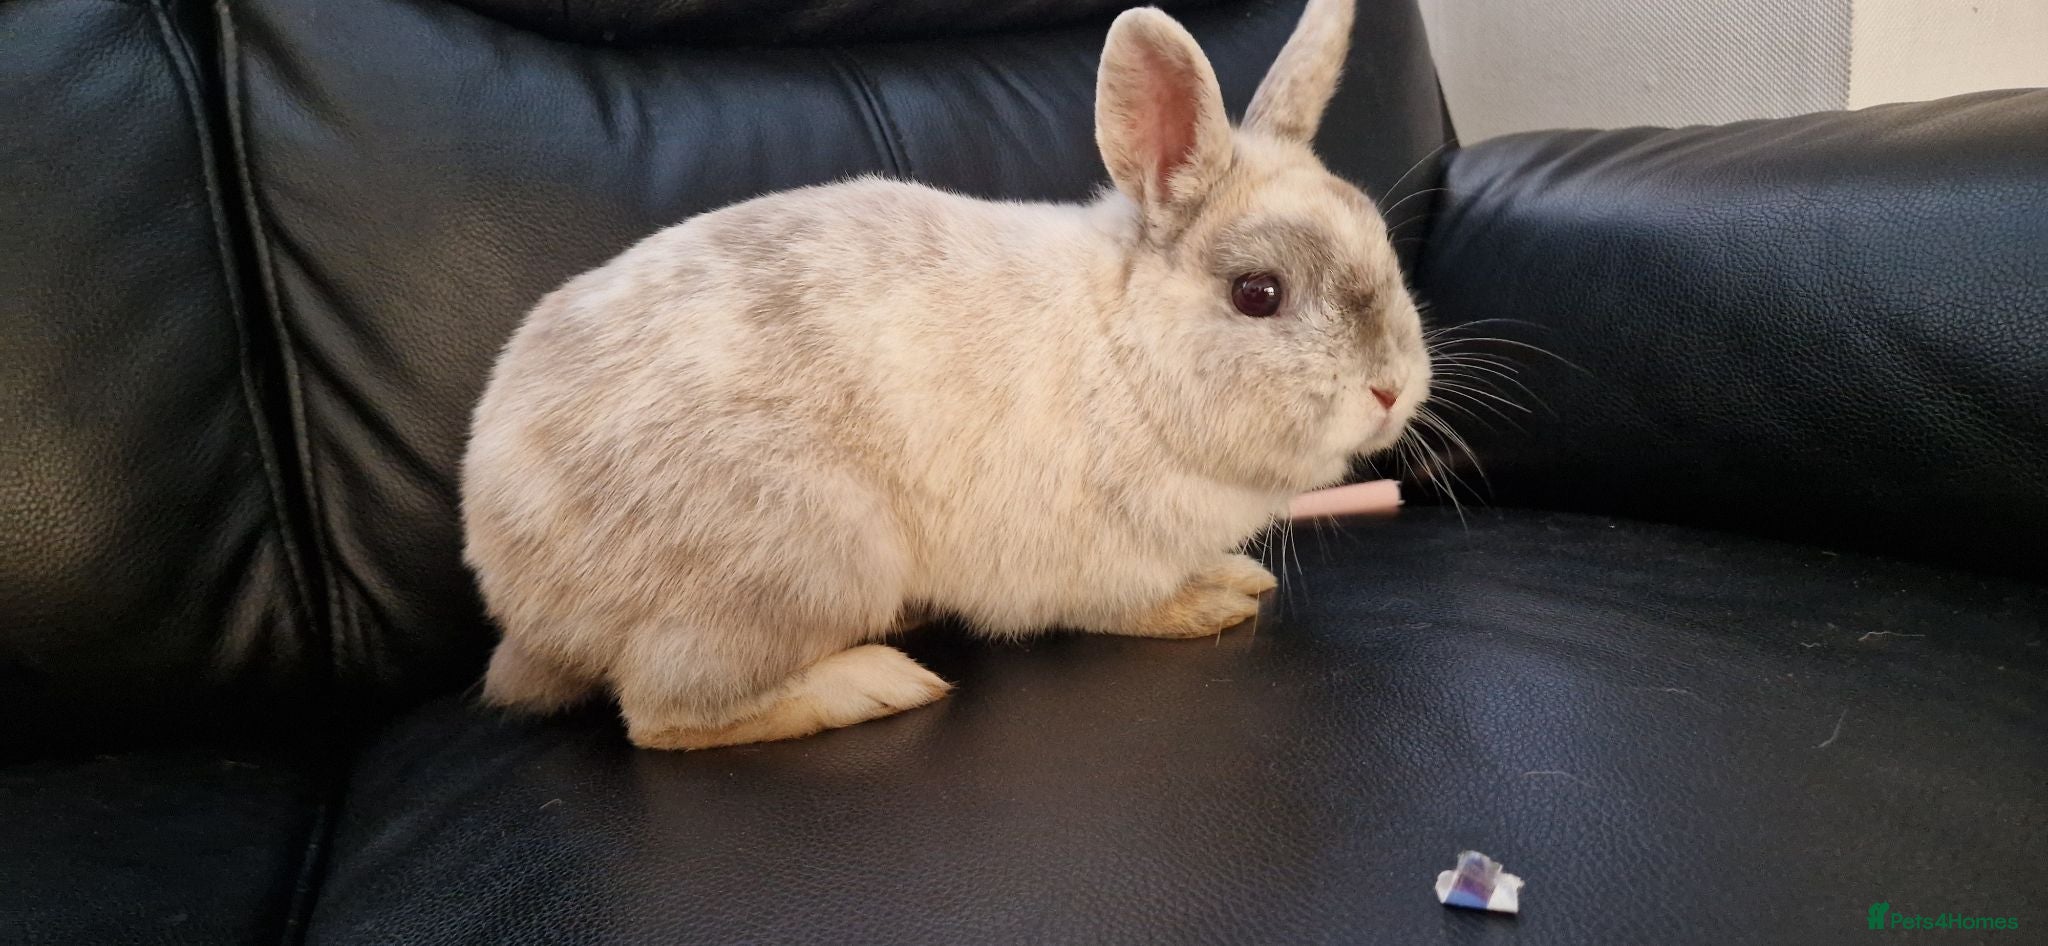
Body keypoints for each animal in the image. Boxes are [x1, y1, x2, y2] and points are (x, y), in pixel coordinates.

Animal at [461, 0, 1431, 750]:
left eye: (1386, 250)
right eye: (1257, 293)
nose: (1389, 389)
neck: (1123, 356)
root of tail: (511, 580)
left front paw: (1233, 574)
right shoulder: (1089, 565)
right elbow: (1129, 608)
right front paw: (1214, 600)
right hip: (799, 556)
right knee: (666, 715)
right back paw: (875, 682)